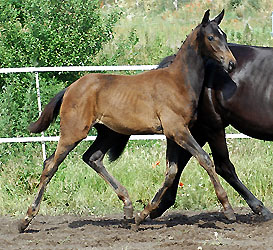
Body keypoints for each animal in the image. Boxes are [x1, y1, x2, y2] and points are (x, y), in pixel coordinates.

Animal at [18, 9, 236, 232]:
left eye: (224, 36)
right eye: (211, 37)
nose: (231, 63)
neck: (178, 82)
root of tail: (70, 88)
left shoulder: (173, 134)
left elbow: (171, 172)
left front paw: (142, 215)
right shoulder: (177, 131)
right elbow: (205, 159)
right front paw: (227, 209)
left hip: (108, 132)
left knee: (92, 158)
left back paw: (128, 206)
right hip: (74, 132)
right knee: (50, 164)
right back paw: (26, 219)